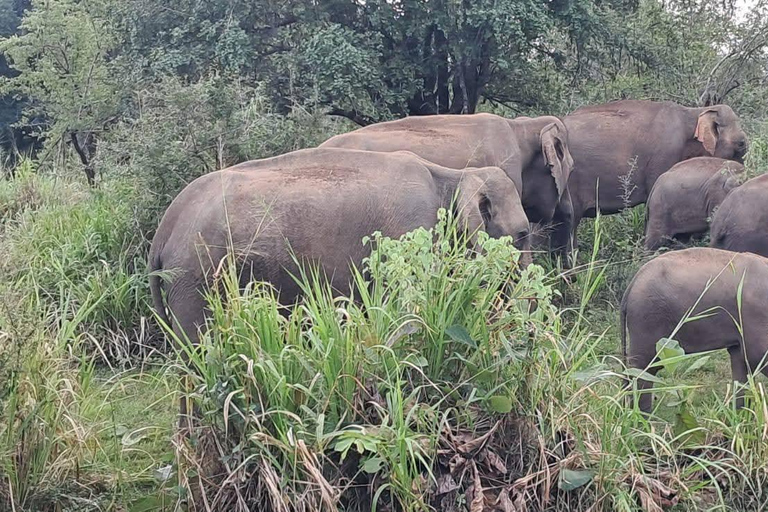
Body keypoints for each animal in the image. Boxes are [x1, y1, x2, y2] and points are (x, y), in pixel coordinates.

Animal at [149, 148, 531, 346]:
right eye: (523, 234)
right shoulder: (410, 230)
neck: (452, 175)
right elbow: (407, 313)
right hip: (194, 277)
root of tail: (163, 230)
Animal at [621, 248, 768, 412]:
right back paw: (643, 415)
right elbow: (758, 355)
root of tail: (632, 284)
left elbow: (741, 358)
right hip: (647, 317)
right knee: (645, 367)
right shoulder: (754, 313)